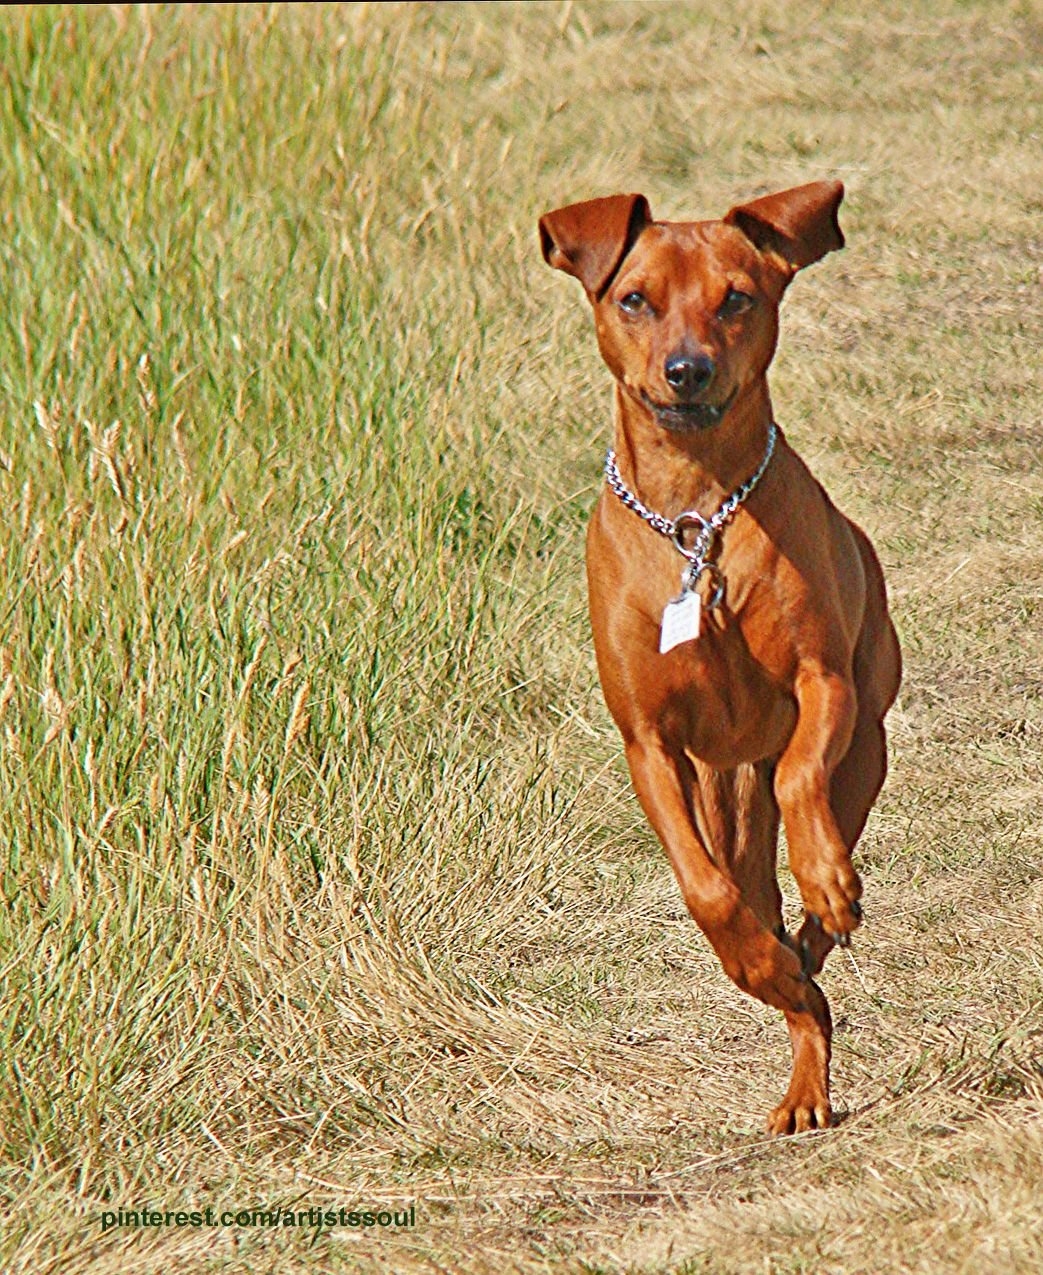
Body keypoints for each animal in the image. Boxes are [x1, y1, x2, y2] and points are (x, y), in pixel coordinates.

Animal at [540, 184, 897, 1132]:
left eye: (736, 298)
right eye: (635, 299)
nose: (686, 371)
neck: (695, 513)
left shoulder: (823, 683)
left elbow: (801, 771)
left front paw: (824, 883)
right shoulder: (650, 743)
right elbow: (705, 893)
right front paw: (753, 962)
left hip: (866, 747)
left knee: (813, 875)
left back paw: (816, 924)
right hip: (722, 796)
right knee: (780, 950)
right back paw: (792, 1013)